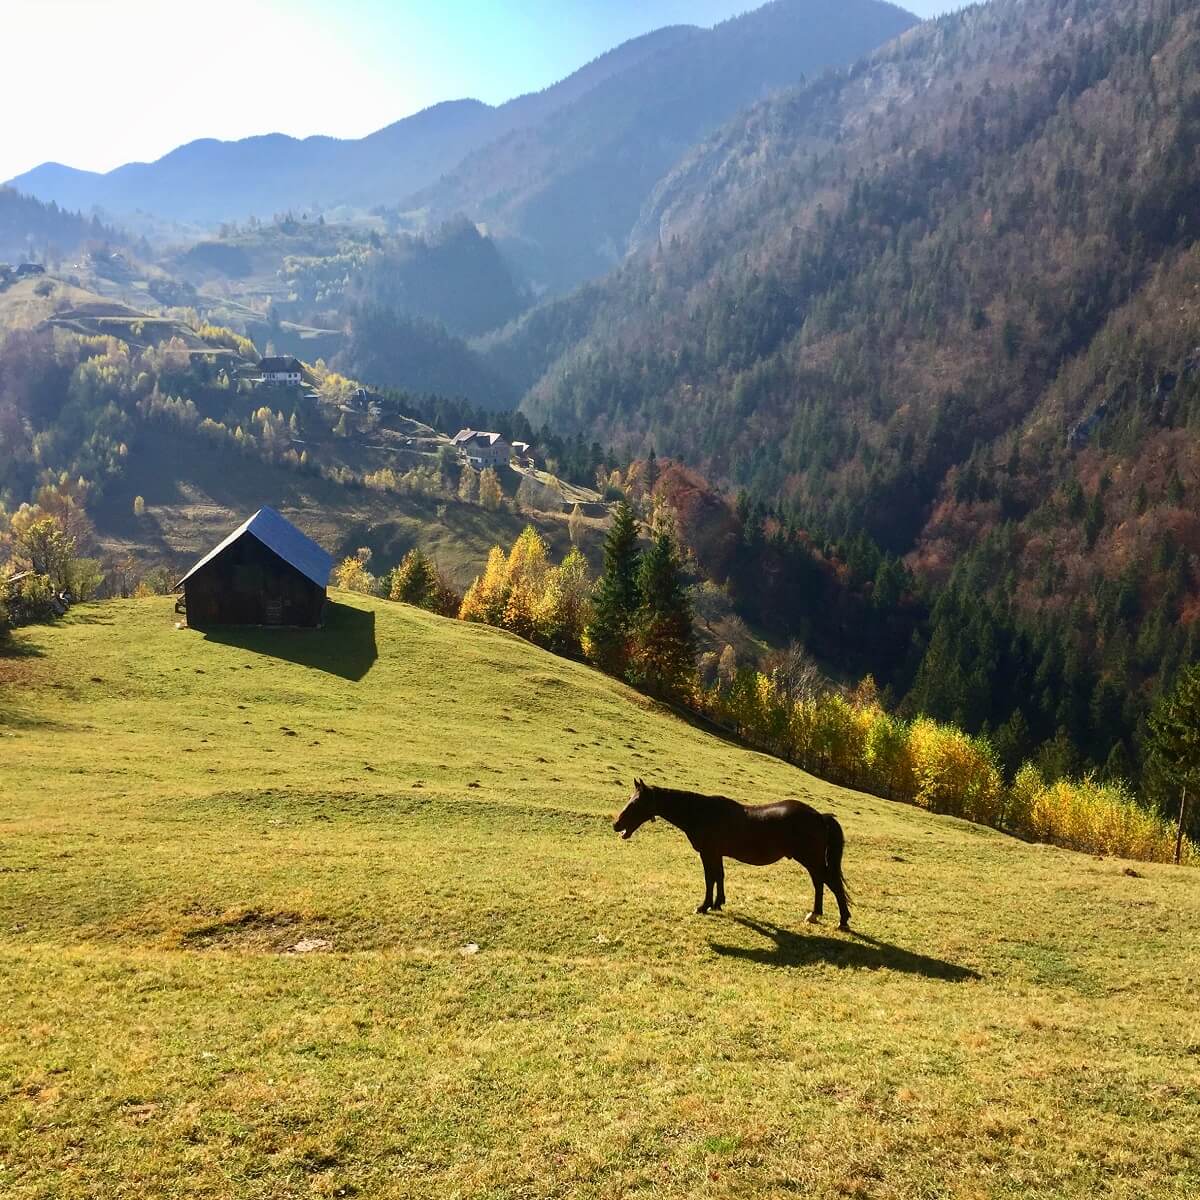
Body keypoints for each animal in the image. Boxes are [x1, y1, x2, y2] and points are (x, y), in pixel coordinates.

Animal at [614, 777, 849, 926]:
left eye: (636, 802)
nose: (616, 825)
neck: (701, 813)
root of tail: (820, 816)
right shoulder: (716, 853)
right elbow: (719, 876)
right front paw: (718, 903)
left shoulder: (708, 853)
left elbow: (710, 878)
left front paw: (704, 906)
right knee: (819, 883)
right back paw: (815, 915)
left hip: (810, 859)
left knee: (831, 884)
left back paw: (843, 921)